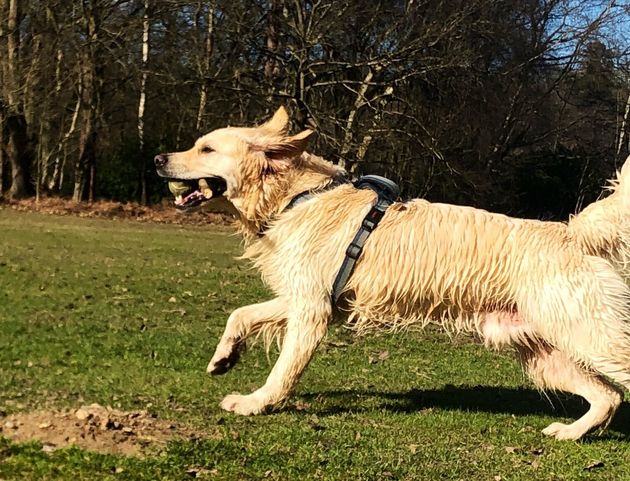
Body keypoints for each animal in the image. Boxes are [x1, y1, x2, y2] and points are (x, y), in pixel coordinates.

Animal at [156, 108, 630, 438]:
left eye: (206, 149)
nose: (159, 157)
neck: (298, 198)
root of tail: (571, 232)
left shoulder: (312, 313)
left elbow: (283, 370)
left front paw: (258, 402)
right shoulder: (308, 298)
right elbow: (241, 313)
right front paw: (224, 357)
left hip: (591, 336)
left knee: (615, 385)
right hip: (544, 352)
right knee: (608, 395)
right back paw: (570, 432)